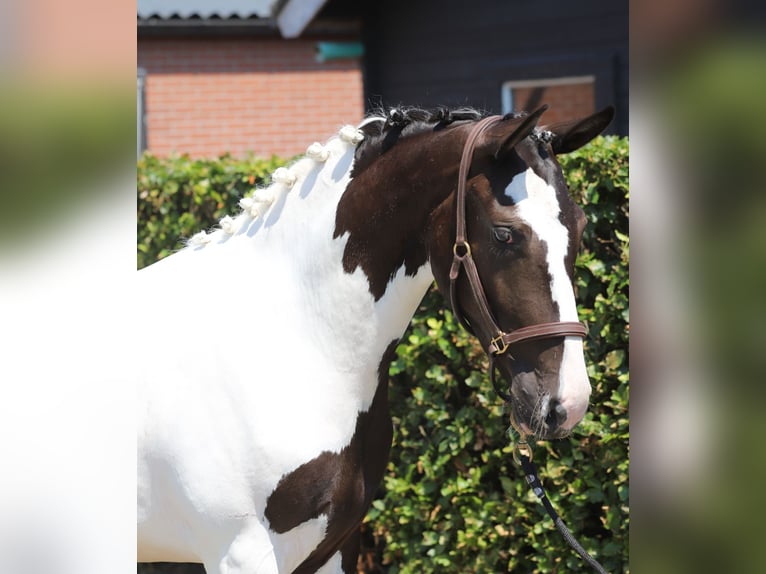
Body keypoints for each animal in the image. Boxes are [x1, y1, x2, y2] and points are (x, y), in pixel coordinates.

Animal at [137, 104, 614, 573]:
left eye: (581, 227)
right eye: (504, 233)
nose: (568, 403)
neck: (292, 340)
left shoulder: (334, 546)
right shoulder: (241, 552)